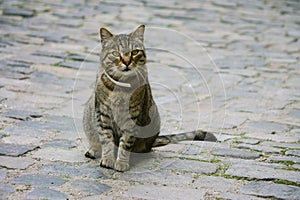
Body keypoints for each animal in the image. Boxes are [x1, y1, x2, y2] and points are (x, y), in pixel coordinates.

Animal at [83, 24, 217, 172]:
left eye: (134, 52)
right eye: (116, 53)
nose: (127, 62)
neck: (121, 86)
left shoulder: (132, 116)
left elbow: (125, 143)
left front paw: (121, 162)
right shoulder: (102, 112)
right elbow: (106, 139)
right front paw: (107, 159)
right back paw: (94, 150)